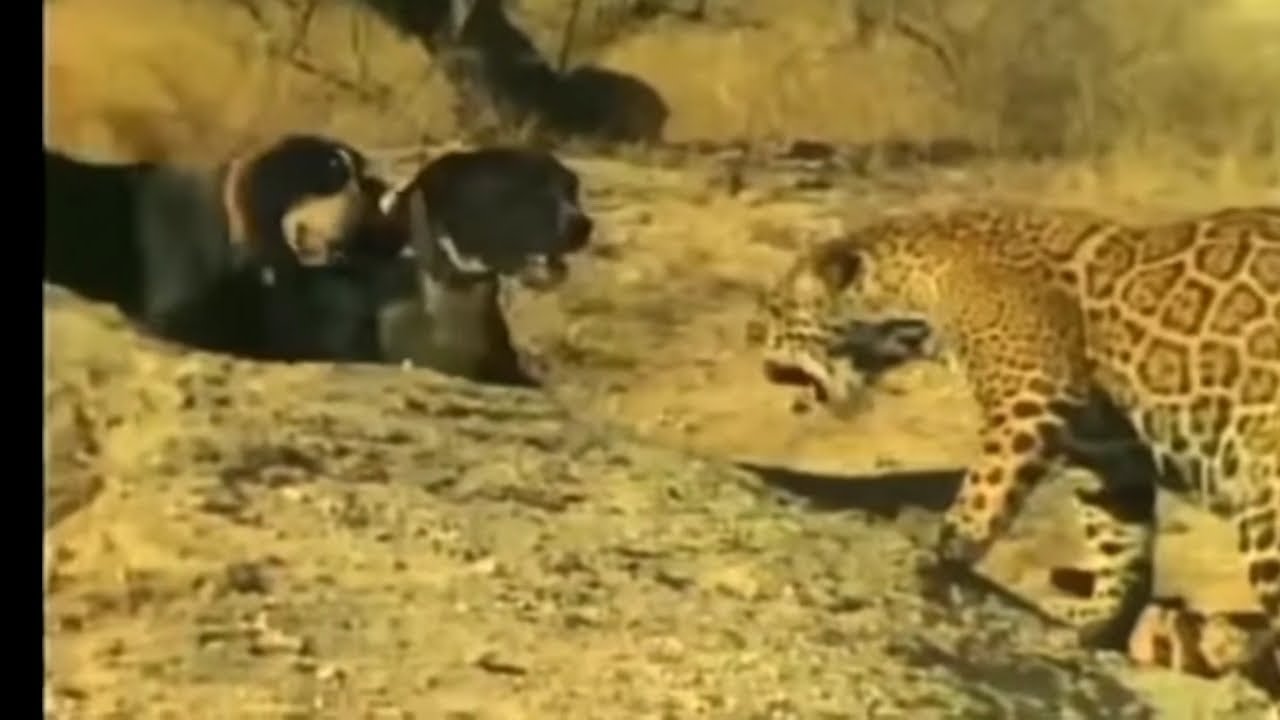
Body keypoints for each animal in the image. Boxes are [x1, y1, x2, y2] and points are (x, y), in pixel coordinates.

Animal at [747, 201, 1280, 693]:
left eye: (776, 311)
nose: (754, 342)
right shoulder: (1107, 453)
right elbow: (1118, 541)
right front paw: (1095, 621)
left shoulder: (1029, 395)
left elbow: (983, 495)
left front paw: (947, 553)